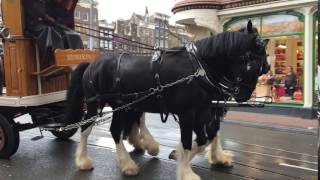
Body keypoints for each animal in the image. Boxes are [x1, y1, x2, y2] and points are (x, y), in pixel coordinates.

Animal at [68, 20, 270, 179]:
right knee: (88, 128)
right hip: (97, 104)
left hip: (125, 106)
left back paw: (134, 156)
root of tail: (93, 63)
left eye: (264, 67)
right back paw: (89, 161)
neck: (199, 67)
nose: (243, 96)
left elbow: (205, 137)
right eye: (253, 62)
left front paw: (187, 156)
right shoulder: (188, 112)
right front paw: (187, 172)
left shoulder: (203, 110)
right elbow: (189, 140)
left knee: (120, 128)